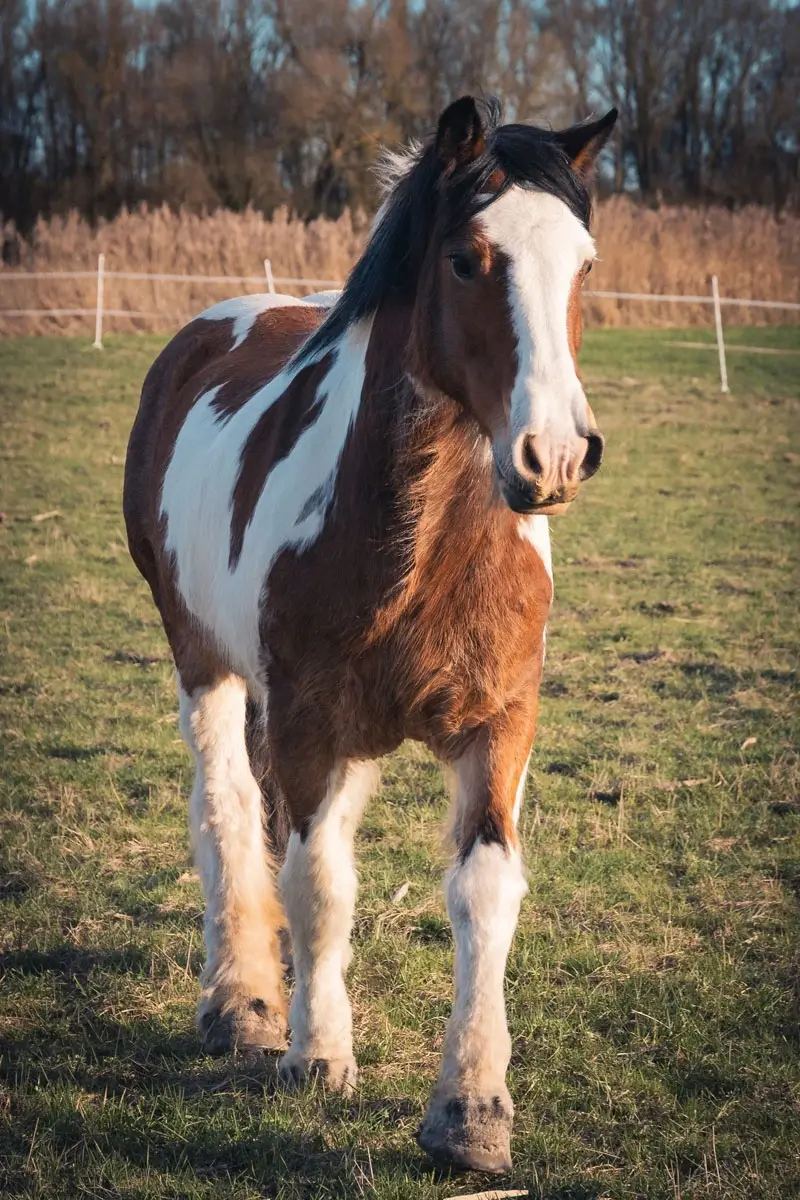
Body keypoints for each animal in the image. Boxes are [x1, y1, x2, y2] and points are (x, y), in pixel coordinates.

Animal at [123, 95, 617, 1173]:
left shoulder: (497, 726)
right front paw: (316, 1054)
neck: (422, 544)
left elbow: (483, 892)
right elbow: (317, 883)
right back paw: (243, 1002)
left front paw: (471, 1109)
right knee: (229, 810)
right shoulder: (306, 722)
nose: (555, 455)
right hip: (205, 665)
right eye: (467, 260)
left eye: (584, 264)